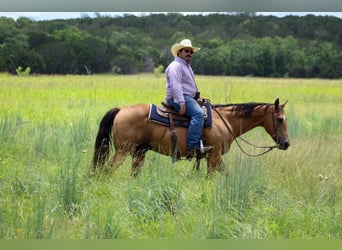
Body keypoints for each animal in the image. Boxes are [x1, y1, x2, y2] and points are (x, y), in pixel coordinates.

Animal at [92, 97, 290, 176]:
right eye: (280, 119)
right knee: (106, 171)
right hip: (123, 151)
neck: (225, 120)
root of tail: (121, 110)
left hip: (139, 152)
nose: (286, 143)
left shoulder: (215, 157)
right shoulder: (213, 156)